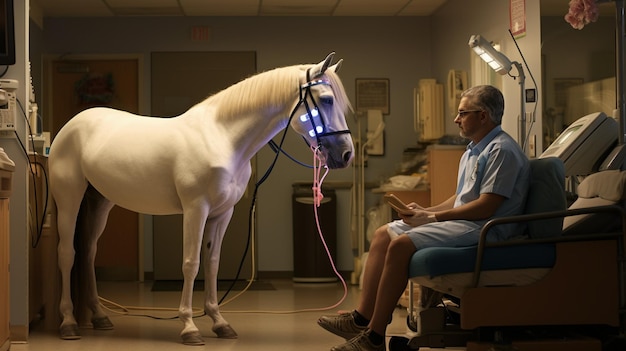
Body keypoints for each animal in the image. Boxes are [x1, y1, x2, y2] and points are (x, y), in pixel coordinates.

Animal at [50, 53, 352, 346]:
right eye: (327, 99)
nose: (346, 154)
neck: (222, 138)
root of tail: (71, 126)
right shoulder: (196, 209)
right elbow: (191, 263)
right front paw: (189, 327)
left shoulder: (222, 213)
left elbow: (212, 263)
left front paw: (219, 322)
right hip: (69, 200)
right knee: (67, 253)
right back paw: (68, 323)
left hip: (100, 202)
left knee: (88, 253)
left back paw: (100, 317)